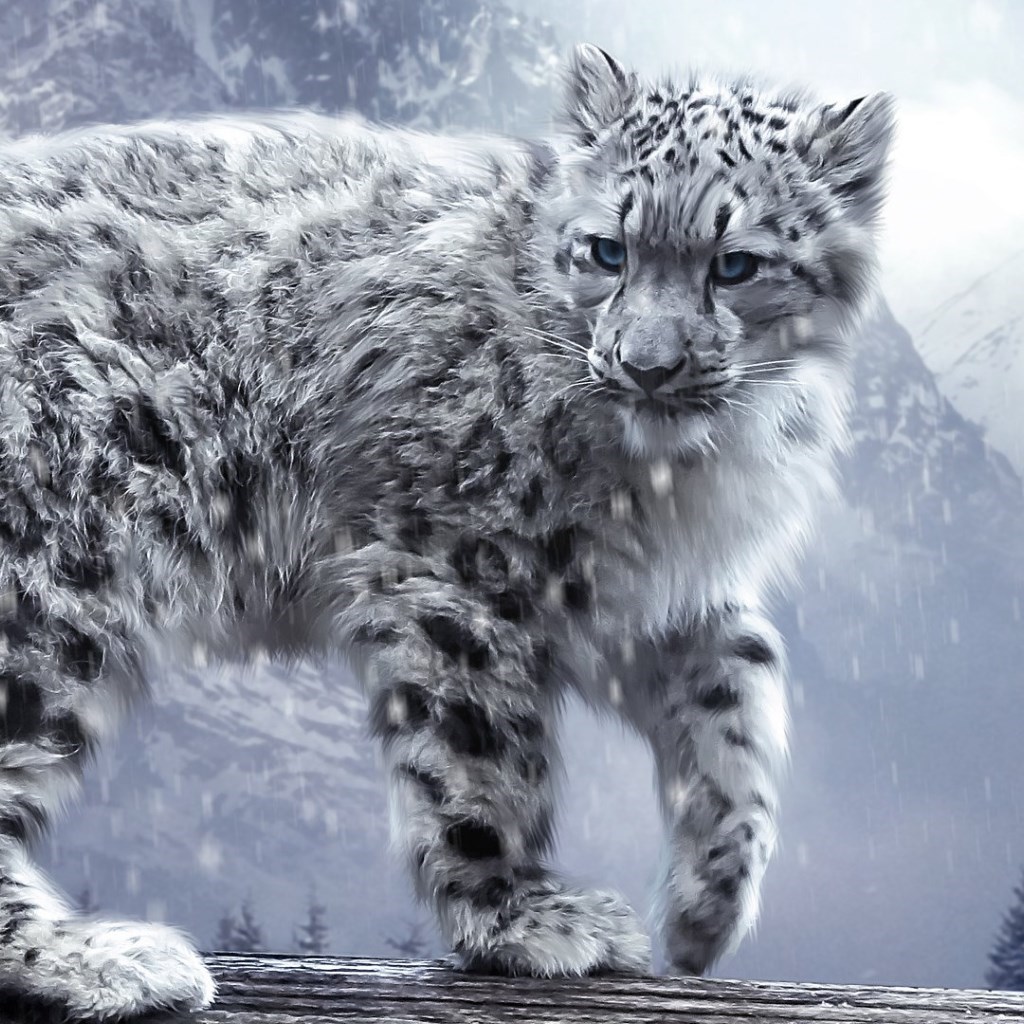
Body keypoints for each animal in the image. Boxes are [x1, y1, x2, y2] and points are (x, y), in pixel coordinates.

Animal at [0, 43, 893, 1019]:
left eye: (735, 265)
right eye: (607, 250)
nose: (646, 366)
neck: (676, 475)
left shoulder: (641, 591)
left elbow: (741, 691)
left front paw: (707, 908)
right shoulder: (460, 565)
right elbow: (481, 751)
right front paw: (520, 918)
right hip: (49, 571)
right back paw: (105, 958)